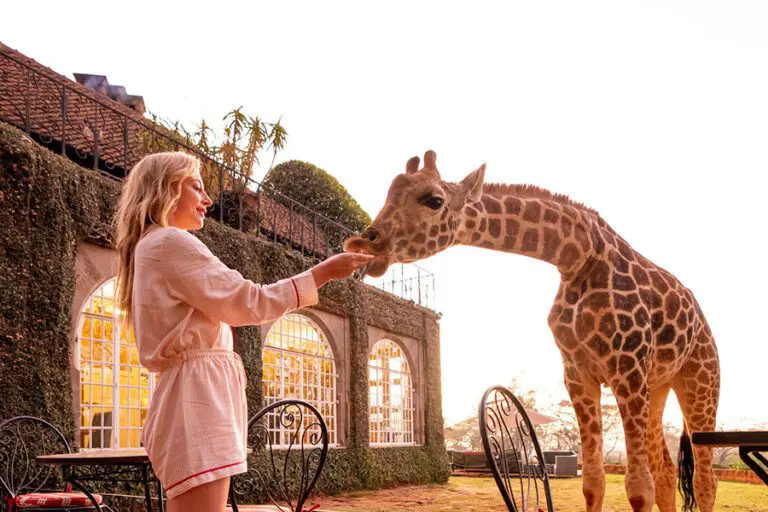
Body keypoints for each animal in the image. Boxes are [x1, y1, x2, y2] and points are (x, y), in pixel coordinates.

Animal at [344, 151, 720, 512]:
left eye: (434, 200)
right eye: (390, 192)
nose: (367, 243)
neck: (578, 258)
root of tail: (703, 323)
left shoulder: (627, 368)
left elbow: (639, 490)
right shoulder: (579, 373)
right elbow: (593, 483)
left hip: (699, 382)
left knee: (705, 480)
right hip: (657, 386)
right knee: (667, 473)